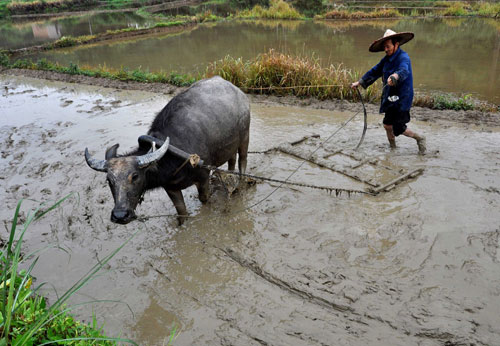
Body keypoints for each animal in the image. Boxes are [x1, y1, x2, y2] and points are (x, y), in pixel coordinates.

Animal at [85, 76, 252, 224]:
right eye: (109, 180)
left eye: (135, 176)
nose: (120, 215)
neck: (174, 155)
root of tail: (239, 92)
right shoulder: (171, 188)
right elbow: (181, 211)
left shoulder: (203, 177)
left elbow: (204, 199)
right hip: (230, 144)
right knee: (232, 160)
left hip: (245, 137)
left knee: (242, 160)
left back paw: (241, 183)